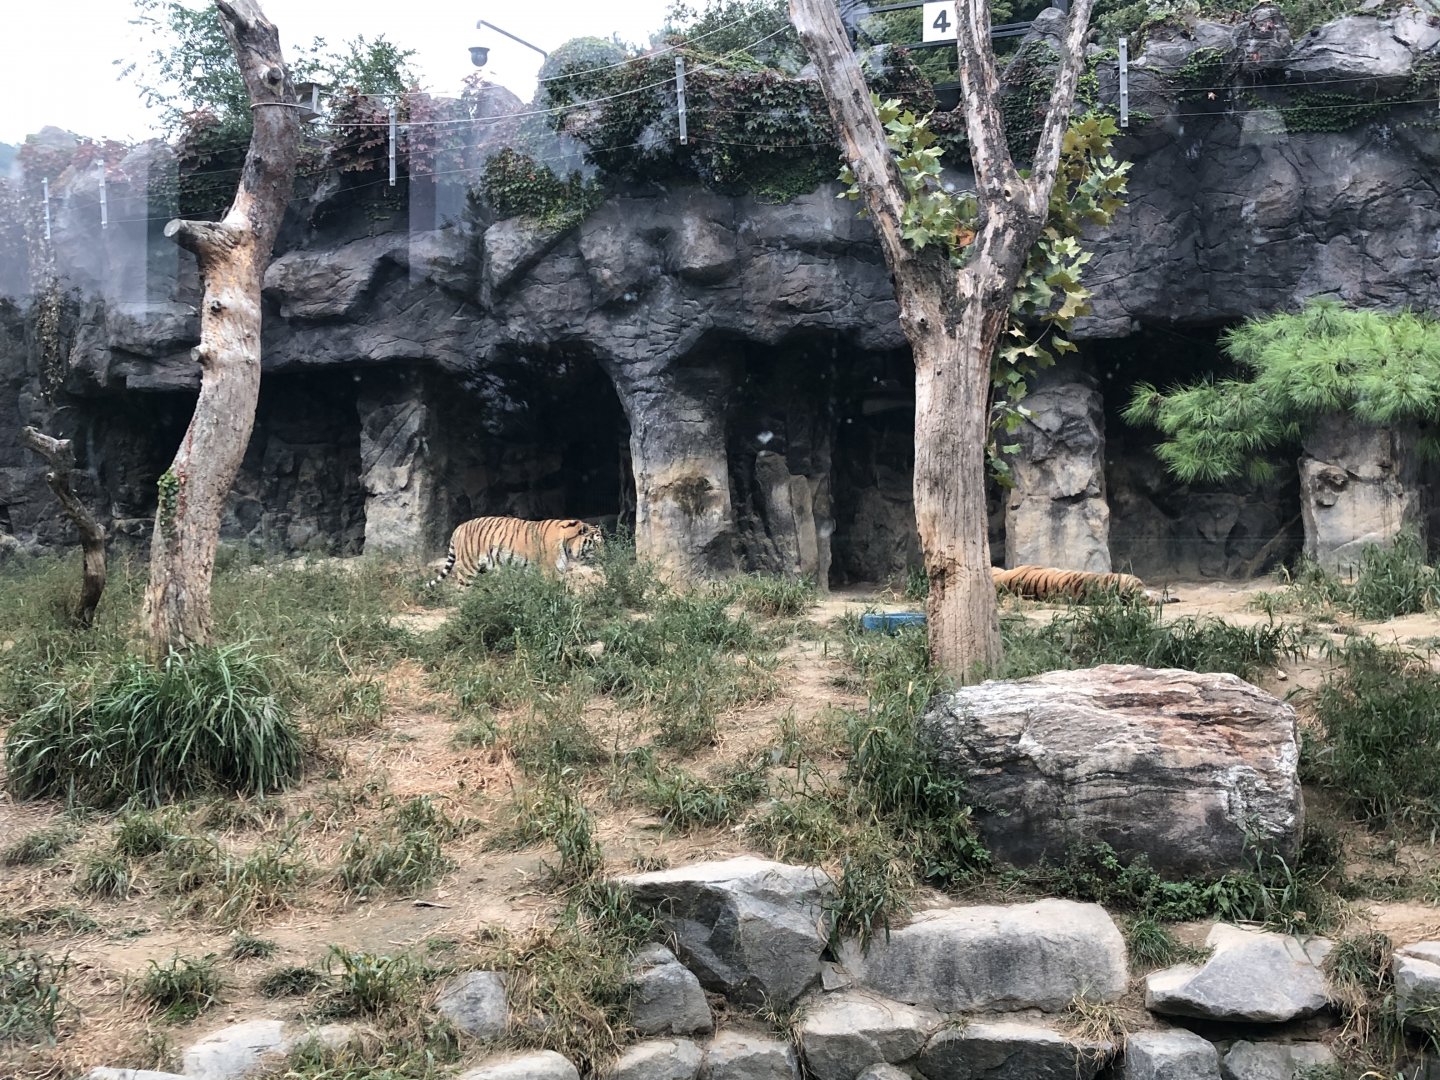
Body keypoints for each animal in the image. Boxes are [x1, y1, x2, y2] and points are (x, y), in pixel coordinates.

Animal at [426, 516, 604, 588]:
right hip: (468, 568)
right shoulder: (551, 572)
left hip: (484, 569)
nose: (605, 554)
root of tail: (459, 527)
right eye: (596, 543)